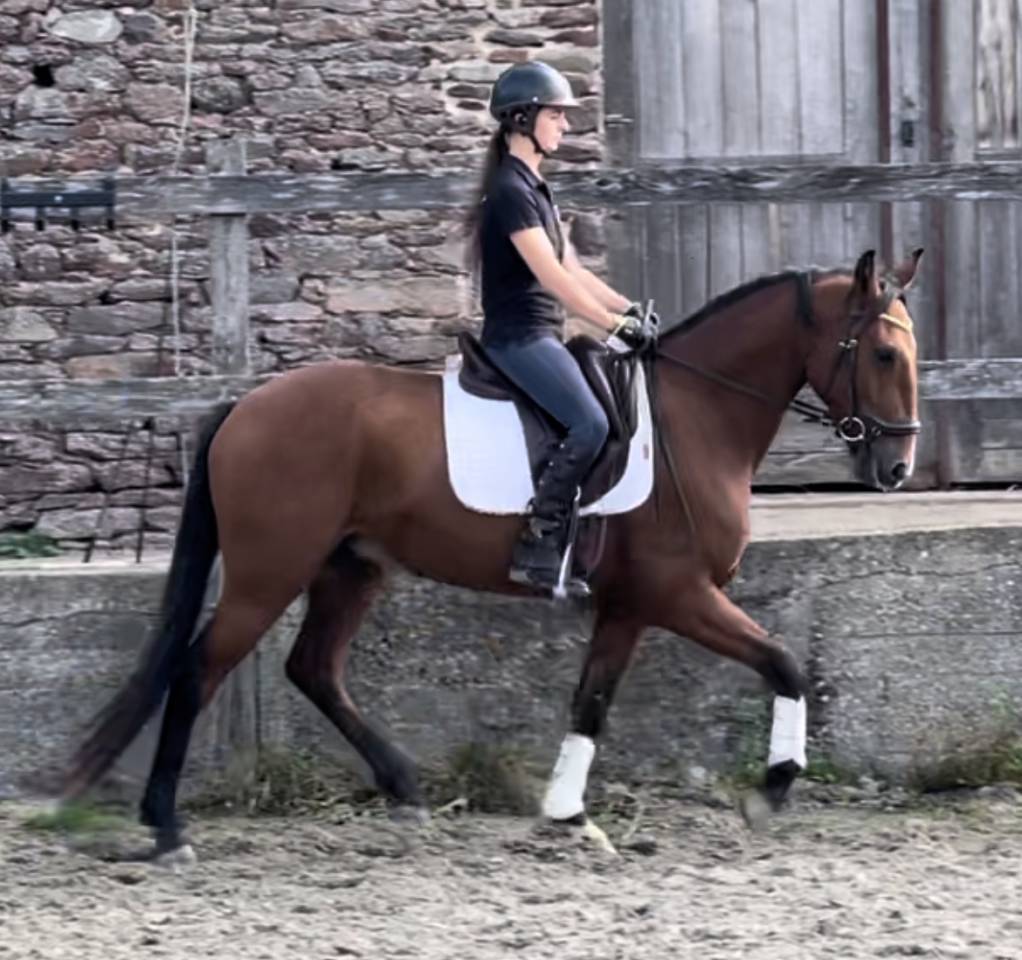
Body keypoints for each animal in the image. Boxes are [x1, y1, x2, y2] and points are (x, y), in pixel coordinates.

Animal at [61, 246, 923, 859]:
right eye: (884, 355)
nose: (898, 467)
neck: (697, 416)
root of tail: (245, 403)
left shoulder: (629, 606)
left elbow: (591, 702)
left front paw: (569, 816)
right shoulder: (678, 594)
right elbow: (783, 662)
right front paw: (771, 788)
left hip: (352, 566)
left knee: (312, 668)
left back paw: (404, 788)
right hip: (268, 573)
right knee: (197, 671)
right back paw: (167, 827)